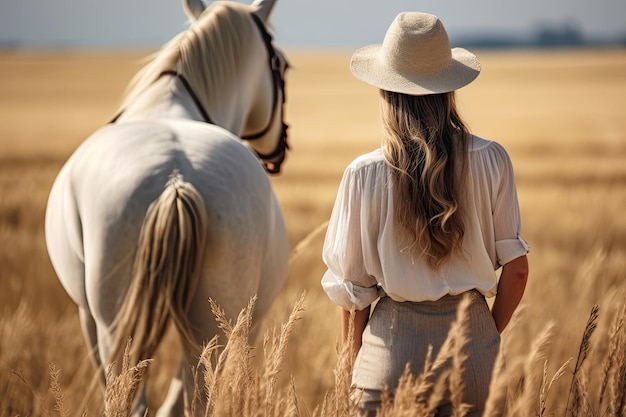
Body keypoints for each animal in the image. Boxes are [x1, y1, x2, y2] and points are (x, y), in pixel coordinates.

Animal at [45, 1, 288, 414]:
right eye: (283, 66)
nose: (281, 147)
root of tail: (175, 181)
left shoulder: (88, 317)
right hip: (204, 326)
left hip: (123, 326)